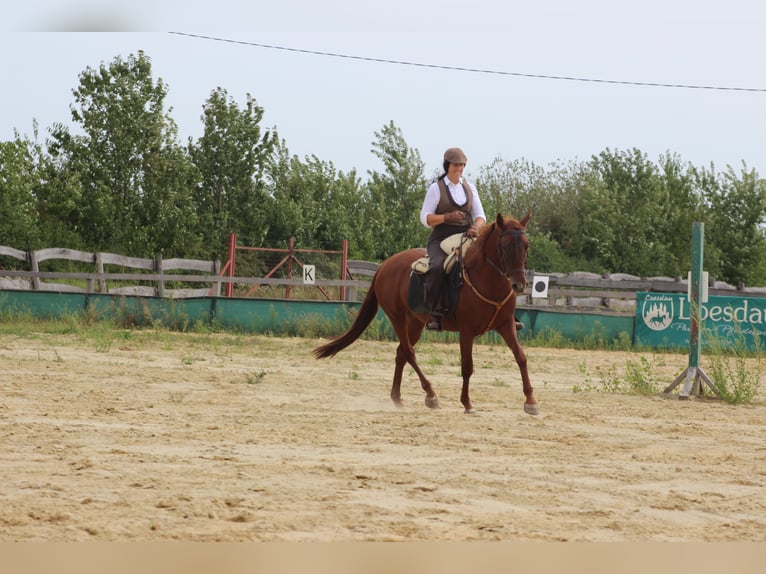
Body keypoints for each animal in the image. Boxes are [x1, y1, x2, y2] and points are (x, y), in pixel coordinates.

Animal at [312, 214, 540, 416]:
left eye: (526, 245)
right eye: (506, 246)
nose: (519, 284)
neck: (485, 280)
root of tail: (385, 265)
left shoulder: (506, 325)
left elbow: (521, 357)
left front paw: (531, 402)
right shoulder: (466, 332)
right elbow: (467, 366)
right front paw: (467, 403)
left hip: (415, 322)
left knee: (401, 353)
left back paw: (397, 398)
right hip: (397, 317)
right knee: (409, 352)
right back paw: (431, 395)